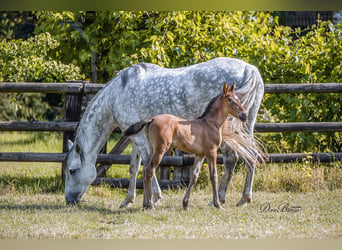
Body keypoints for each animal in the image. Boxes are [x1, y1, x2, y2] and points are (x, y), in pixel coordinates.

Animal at [64, 58, 264, 207]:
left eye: (72, 171)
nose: (69, 200)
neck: (117, 94)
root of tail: (250, 69)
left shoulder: (139, 138)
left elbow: (147, 164)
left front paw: (154, 197)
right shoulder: (135, 136)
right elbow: (134, 167)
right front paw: (128, 200)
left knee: (234, 158)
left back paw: (229, 198)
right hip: (246, 126)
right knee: (247, 156)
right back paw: (238, 198)